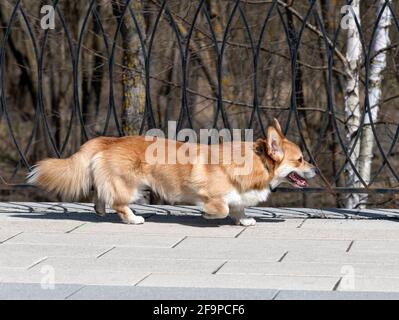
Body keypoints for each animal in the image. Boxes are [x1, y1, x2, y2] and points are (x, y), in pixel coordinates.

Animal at [27, 119, 318, 226]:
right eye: (301, 159)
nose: (315, 169)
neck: (257, 163)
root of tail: (109, 140)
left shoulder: (238, 197)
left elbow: (238, 208)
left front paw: (244, 221)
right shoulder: (212, 194)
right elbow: (222, 208)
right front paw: (209, 215)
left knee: (101, 196)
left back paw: (100, 211)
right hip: (130, 186)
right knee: (118, 202)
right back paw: (133, 219)